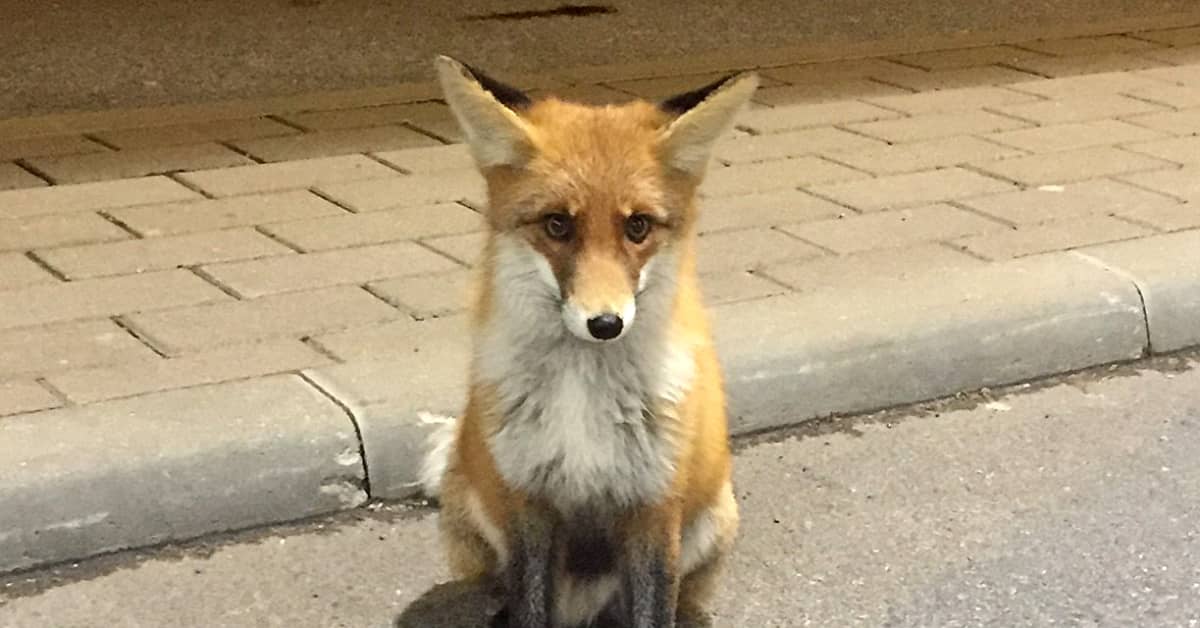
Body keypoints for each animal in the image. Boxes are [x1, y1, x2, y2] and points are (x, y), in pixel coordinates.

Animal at [422, 56, 758, 624]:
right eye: (558, 225)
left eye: (638, 226)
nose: (605, 324)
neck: (583, 398)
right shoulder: (528, 503)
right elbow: (531, 608)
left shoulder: (652, 506)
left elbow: (653, 611)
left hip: (713, 523)